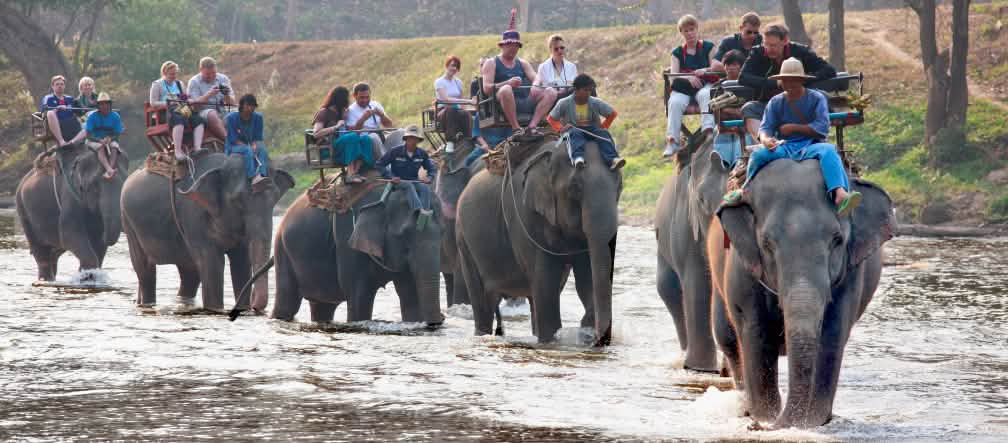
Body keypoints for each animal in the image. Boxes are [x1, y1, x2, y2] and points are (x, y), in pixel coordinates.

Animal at [15, 145, 129, 281]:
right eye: (94, 185)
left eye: (124, 183)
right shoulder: (70, 195)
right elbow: (70, 234)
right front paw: (86, 276)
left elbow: (98, 246)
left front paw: (87, 275)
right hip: (23, 209)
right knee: (41, 253)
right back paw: (46, 279)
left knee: (54, 253)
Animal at [120, 150, 293, 311]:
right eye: (237, 200)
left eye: (275, 198)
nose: (255, 307)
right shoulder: (194, 215)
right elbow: (212, 263)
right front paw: (215, 309)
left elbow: (242, 261)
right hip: (129, 223)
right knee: (145, 272)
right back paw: (148, 303)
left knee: (189, 275)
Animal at [455, 139, 622, 345]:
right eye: (575, 187)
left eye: (619, 186)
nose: (599, 339)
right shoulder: (524, 215)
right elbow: (545, 283)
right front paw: (553, 342)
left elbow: (586, 279)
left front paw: (585, 331)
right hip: (464, 240)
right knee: (482, 300)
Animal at [707, 159, 894, 428]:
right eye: (767, 243)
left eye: (837, 240)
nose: (767, 426)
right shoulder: (742, 267)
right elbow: (756, 333)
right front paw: (766, 418)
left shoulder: (851, 274)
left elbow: (833, 334)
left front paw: (812, 422)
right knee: (729, 338)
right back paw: (745, 408)